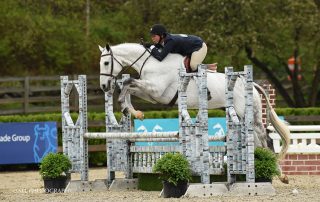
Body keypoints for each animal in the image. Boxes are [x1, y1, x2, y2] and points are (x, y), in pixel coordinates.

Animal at [98, 42, 290, 183]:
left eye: (106, 63)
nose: (104, 86)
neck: (152, 62)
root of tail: (250, 83)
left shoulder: (156, 91)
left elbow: (128, 82)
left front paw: (127, 107)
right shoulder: (152, 95)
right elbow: (129, 86)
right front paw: (132, 110)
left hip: (251, 116)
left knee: (266, 141)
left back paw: (280, 175)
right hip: (240, 116)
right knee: (257, 142)